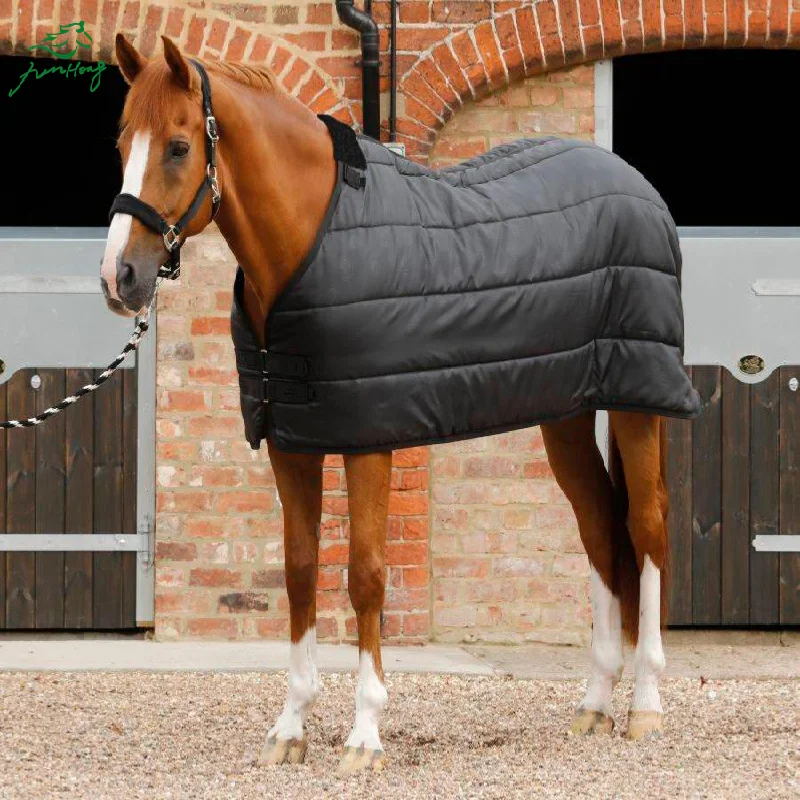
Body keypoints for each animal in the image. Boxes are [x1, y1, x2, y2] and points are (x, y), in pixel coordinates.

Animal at [101, 34, 676, 772]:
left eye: (177, 147)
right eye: (122, 143)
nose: (119, 277)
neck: (311, 238)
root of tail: (635, 185)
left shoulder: (368, 439)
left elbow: (366, 575)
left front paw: (365, 734)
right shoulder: (290, 441)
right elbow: (299, 571)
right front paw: (291, 727)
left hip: (638, 399)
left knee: (647, 528)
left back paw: (645, 706)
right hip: (567, 410)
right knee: (600, 526)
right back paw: (595, 704)